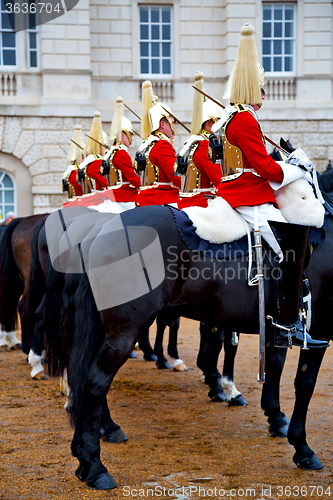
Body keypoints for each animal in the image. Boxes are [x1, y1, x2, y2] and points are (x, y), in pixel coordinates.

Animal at [40, 201, 326, 490]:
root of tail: (99, 228)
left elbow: (272, 364)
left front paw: (271, 415)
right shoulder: (317, 330)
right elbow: (303, 385)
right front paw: (301, 446)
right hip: (124, 332)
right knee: (95, 381)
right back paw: (95, 466)